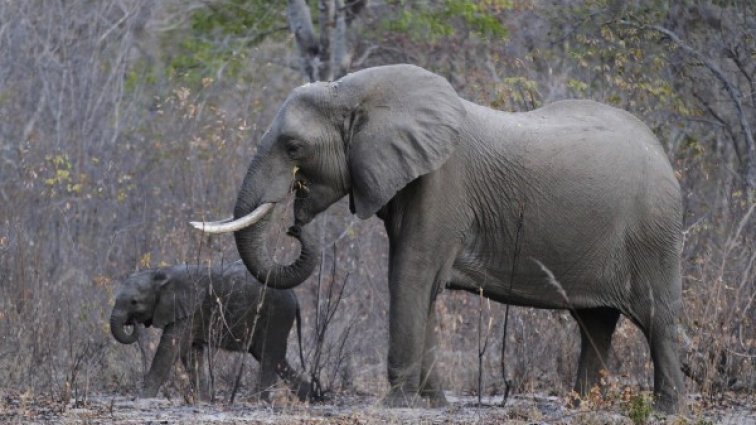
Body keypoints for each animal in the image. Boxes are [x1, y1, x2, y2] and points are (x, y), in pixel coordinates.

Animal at [110, 262, 314, 400]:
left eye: (134, 302)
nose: (132, 323)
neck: (161, 273)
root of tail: (294, 295)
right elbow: (191, 352)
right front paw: (204, 400)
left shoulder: (189, 307)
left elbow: (170, 348)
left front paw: (143, 398)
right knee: (276, 359)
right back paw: (310, 396)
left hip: (276, 315)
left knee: (269, 358)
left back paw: (255, 400)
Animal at [193, 64, 684, 412]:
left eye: (294, 147)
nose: (295, 223)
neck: (352, 91)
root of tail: (662, 151)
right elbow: (421, 283)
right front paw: (434, 403)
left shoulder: (442, 183)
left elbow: (409, 273)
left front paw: (396, 404)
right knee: (595, 321)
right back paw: (584, 404)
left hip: (653, 232)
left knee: (656, 318)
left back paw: (665, 408)